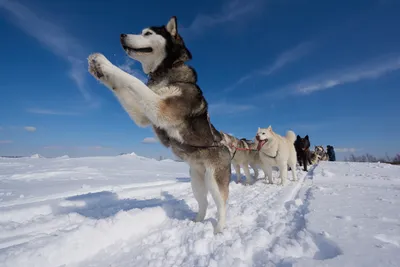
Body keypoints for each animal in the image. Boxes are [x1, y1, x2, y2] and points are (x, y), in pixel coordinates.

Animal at [87, 17, 231, 234]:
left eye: (147, 33)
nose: (121, 35)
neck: (168, 72)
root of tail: (225, 144)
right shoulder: (143, 115)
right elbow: (121, 86)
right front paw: (99, 69)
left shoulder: (162, 109)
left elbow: (133, 79)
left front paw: (105, 63)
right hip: (196, 181)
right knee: (203, 202)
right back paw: (197, 221)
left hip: (214, 180)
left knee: (221, 205)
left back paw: (219, 228)